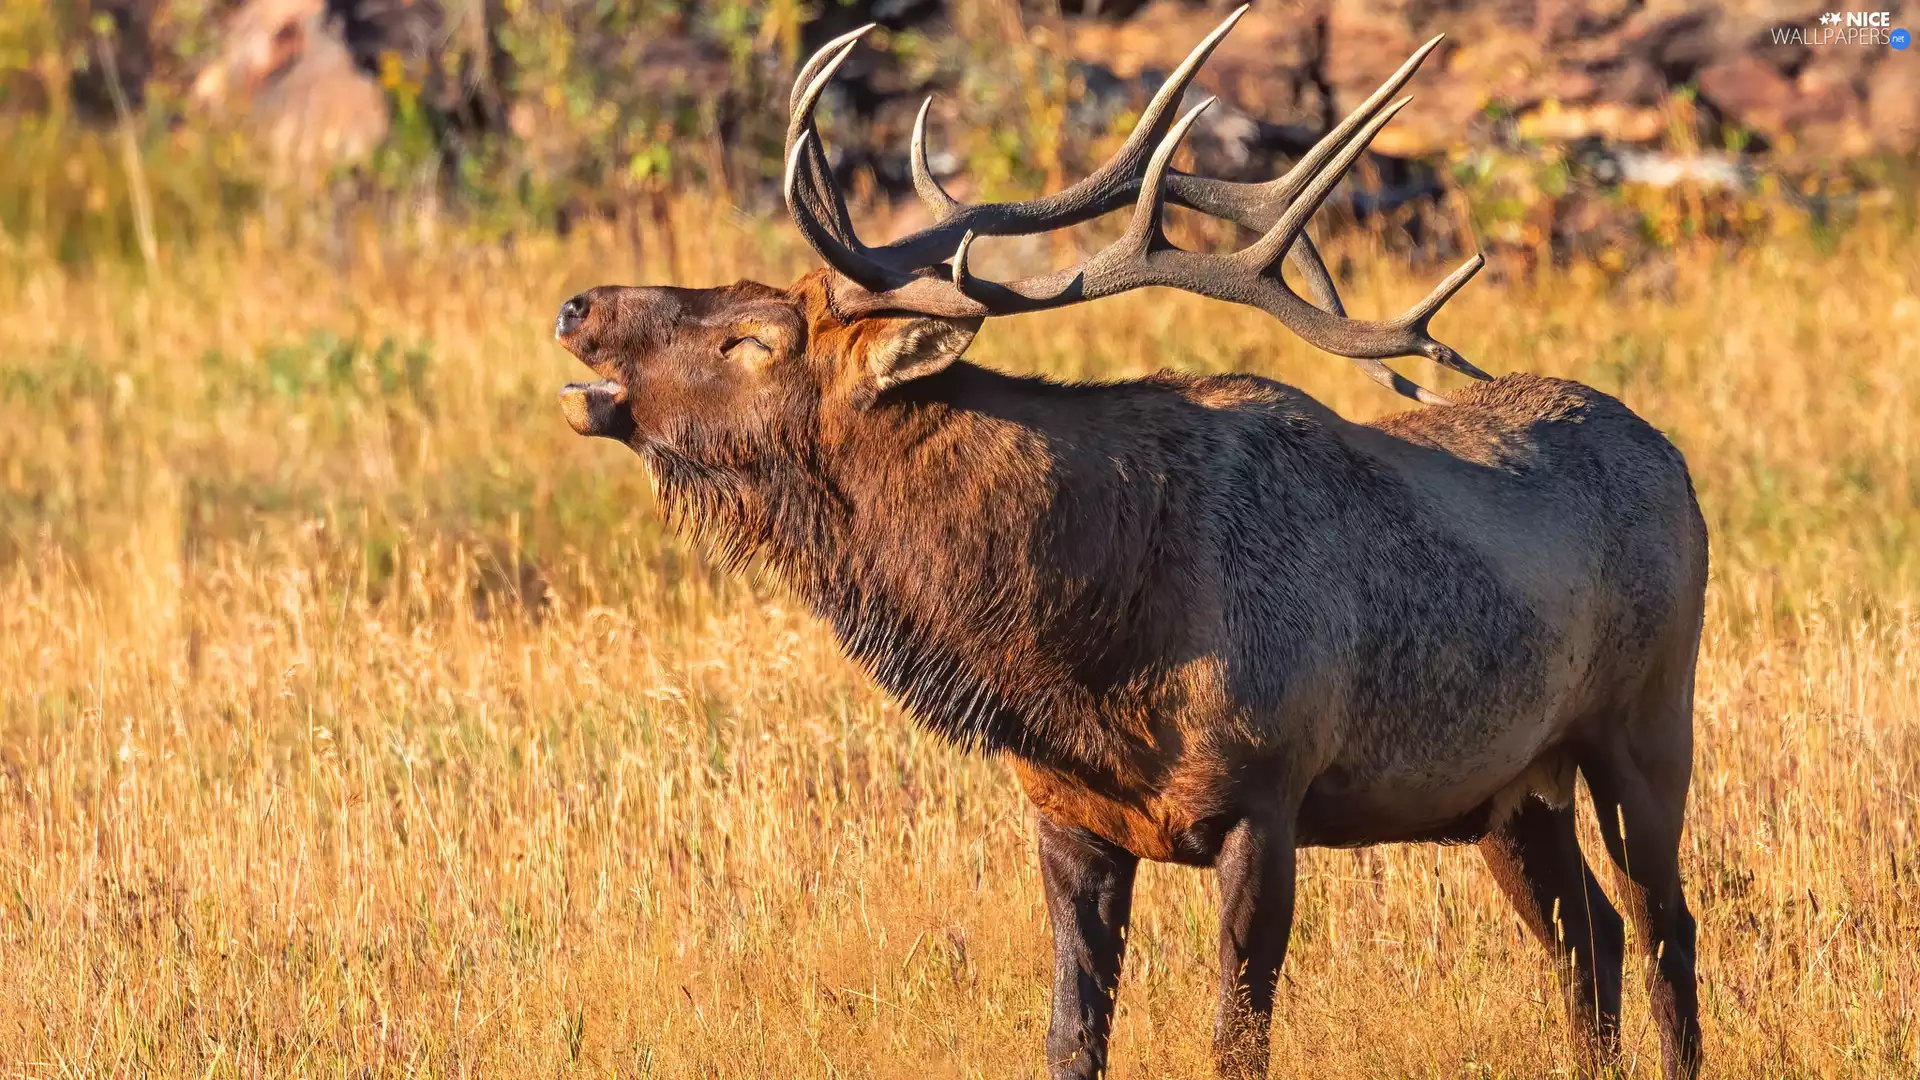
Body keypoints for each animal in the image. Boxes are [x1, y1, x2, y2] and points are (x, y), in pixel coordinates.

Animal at [552, 8, 1707, 1078]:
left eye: (751, 338)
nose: (577, 305)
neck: (1078, 647)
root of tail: (1675, 461)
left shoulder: (1264, 797)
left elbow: (1236, 1040)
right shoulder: (1068, 813)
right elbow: (1072, 1038)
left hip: (1646, 722)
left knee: (1664, 928)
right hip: (1506, 788)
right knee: (1590, 938)